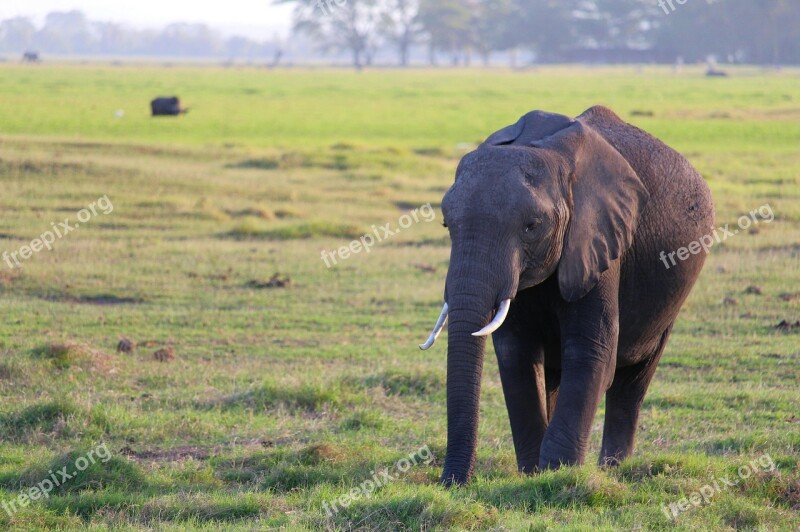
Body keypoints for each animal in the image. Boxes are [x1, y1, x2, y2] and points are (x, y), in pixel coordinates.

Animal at [422, 106, 716, 484]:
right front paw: (535, 475)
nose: (452, 483)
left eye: (532, 226)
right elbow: (516, 354)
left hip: (671, 298)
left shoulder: (600, 238)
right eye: (446, 224)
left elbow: (591, 352)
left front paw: (558, 474)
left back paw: (613, 469)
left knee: (633, 381)